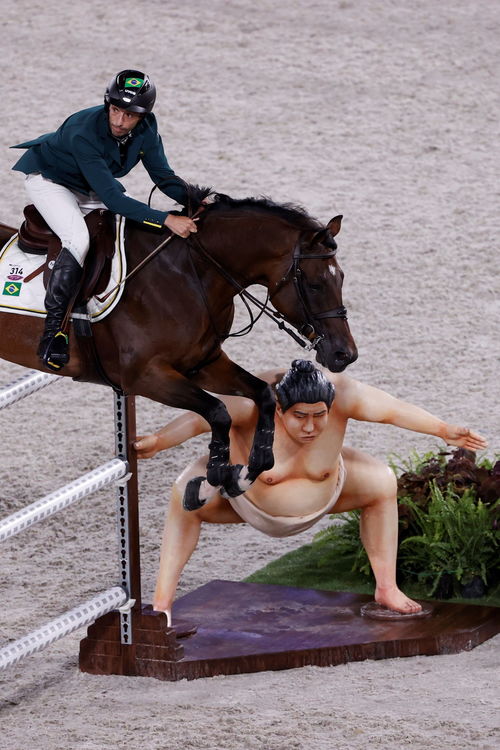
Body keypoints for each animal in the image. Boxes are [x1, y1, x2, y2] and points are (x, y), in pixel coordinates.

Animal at [0, 187, 360, 506]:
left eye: (342, 277)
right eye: (315, 284)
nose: (344, 354)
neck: (191, 275)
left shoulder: (204, 363)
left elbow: (263, 394)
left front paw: (248, 472)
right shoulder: (146, 377)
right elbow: (218, 412)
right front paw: (216, 476)